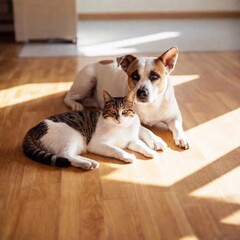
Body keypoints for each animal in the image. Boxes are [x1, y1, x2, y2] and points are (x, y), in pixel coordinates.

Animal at [23, 91, 156, 170]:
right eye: (113, 112)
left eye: (124, 112)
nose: (119, 119)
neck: (121, 128)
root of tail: (34, 127)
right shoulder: (97, 144)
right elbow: (116, 149)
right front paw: (127, 156)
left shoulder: (132, 141)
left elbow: (142, 145)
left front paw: (150, 151)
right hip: (72, 136)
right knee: (64, 155)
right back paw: (86, 164)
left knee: (70, 155)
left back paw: (91, 162)